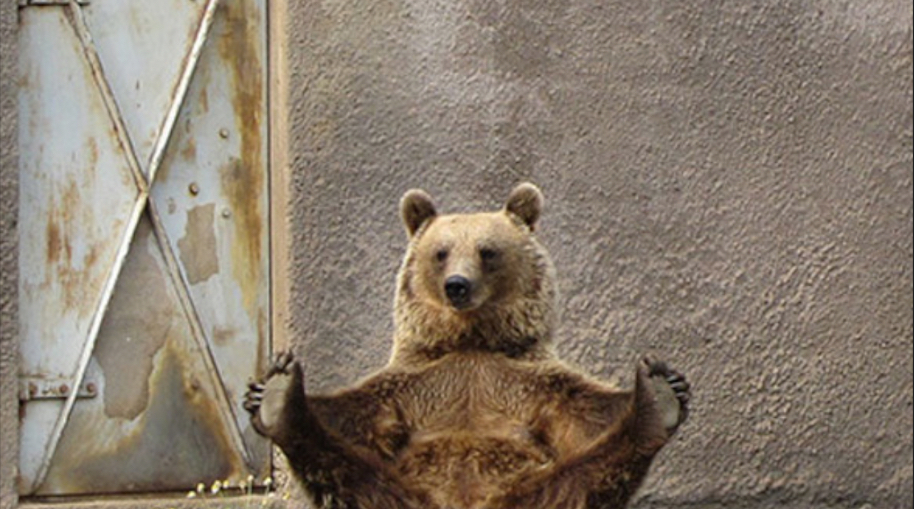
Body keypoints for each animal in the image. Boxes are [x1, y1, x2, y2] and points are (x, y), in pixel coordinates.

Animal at [244, 183, 690, 509]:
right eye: (441, 252)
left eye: (487, 251)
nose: (457, 285)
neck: (471, 339)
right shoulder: (413, 384)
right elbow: (353, 415)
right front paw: (263, 388)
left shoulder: (529, 380)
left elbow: (587, 413)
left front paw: (669, 382)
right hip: (398, 491)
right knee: (351, 475)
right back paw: (282, 401)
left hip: (534, 490)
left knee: (582, 479)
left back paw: (655, 404)